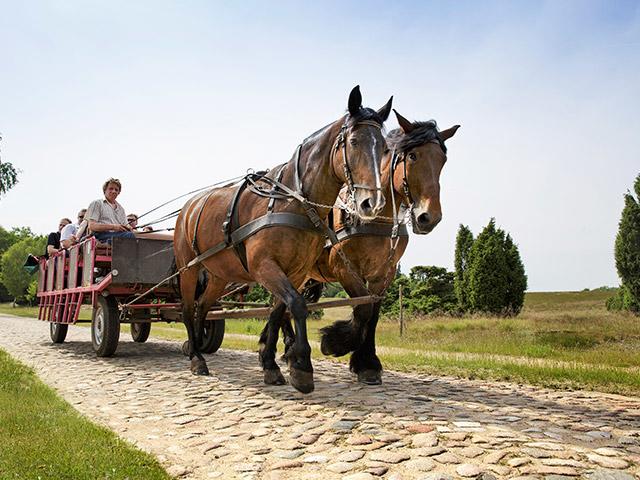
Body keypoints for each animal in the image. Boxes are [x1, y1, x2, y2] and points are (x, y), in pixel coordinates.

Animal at [175, 87, 396, 394]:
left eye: (385, 148)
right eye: (353, 142)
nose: (371, 204)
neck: (292, 202)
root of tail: (189, 207)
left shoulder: (296, 272)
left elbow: (279, 311)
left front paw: (271, 364)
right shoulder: (264, 267)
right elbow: (297, 305)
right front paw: (301, 365)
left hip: (219, 274)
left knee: (202, 308)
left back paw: (195, 346)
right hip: (189, 268)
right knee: (187, 309)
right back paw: (196, 357)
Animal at [264, 108, 460, 382]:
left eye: (442, 160)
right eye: (413, 156)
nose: (429, 217)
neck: (375, 217)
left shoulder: (384, 273)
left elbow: (373, 313)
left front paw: (367, 362)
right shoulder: (344, 268)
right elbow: (363, 309)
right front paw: (336, 343)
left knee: (281, 307)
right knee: (281, 307)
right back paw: (286, 349)